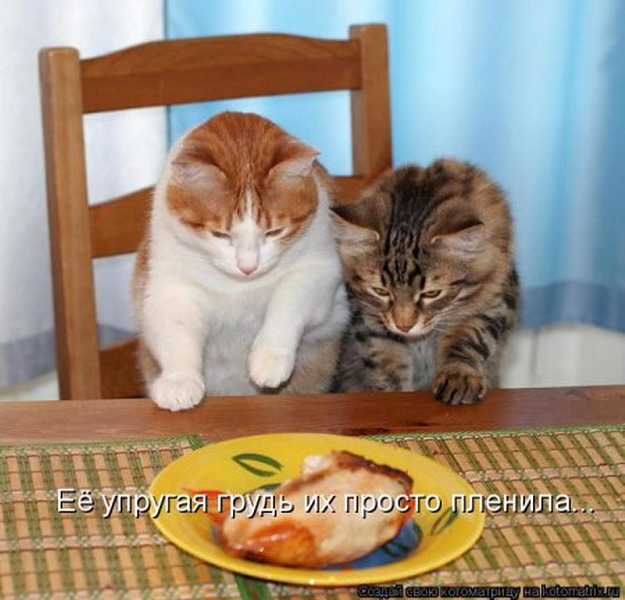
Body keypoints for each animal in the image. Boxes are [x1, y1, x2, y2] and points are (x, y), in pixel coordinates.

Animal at [133, 112, 349, 411]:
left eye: (274, 232)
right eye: (220, 234)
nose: (248, 267)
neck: (239, 286)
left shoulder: (319, 269)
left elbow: (287, 303)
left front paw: (270, 358)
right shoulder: (167, 287)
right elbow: (177, 333)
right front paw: (179, 380)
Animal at [331, 159, 518, 404]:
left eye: (431, 294)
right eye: (381, 291)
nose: (404, 326)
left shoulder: (493, 305)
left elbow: (466, 340)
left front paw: (458, 377)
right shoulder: (370, 323)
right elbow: (388, 368)